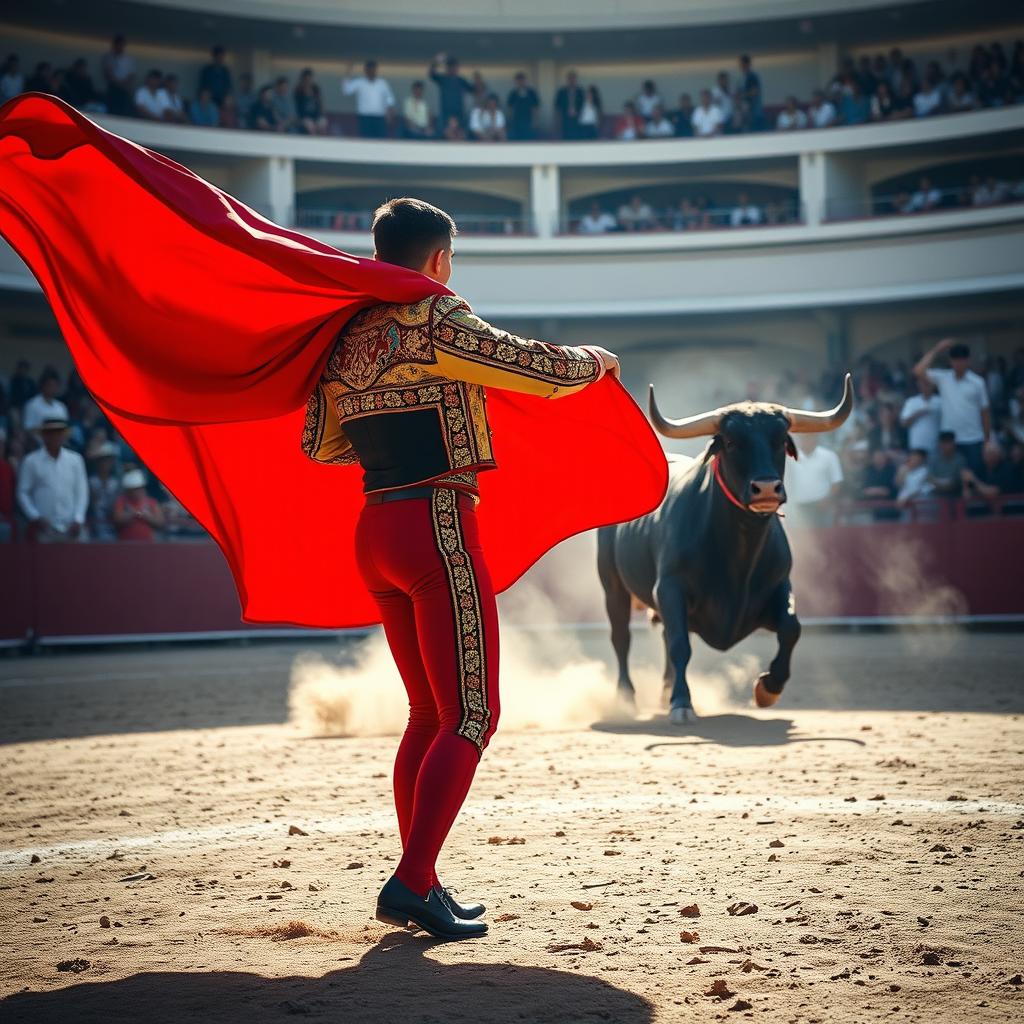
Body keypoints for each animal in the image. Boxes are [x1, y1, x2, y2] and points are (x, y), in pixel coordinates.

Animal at [598, 374, 851, 720]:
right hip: (613, 587)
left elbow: (791, 628)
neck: (738, 552)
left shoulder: (779, 586)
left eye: (779, 440)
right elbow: (680, 645)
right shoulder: (670, 588)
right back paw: (627, 698)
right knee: (621, 637)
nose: (766, 489)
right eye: (731, 442)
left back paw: (663, 693)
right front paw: (682, 703)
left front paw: (768, 688)